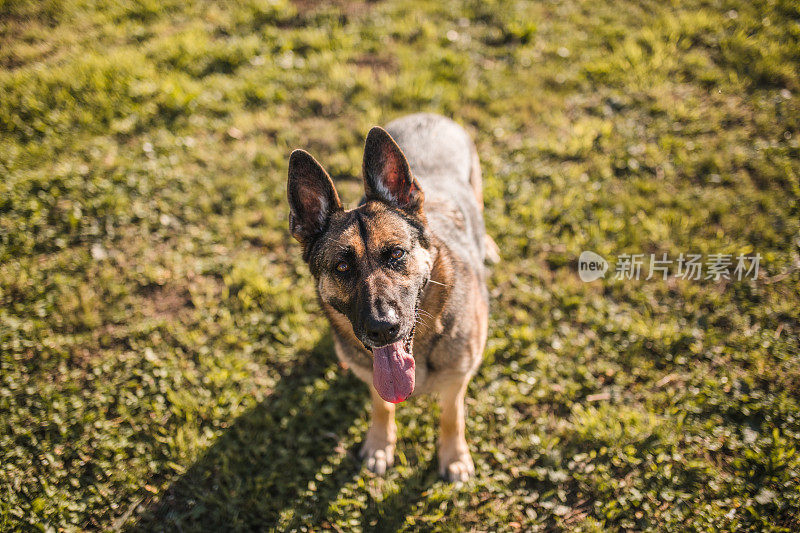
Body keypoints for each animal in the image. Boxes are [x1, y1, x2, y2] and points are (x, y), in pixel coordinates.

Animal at [284, 114, 490, 480]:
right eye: (342, 267)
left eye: (395, 253)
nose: (382, 329)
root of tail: (426, 116)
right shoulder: (373, 376)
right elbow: (381, 406)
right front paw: (380, 444)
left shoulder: (458, 380)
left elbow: (452, 417)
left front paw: (454, 457)